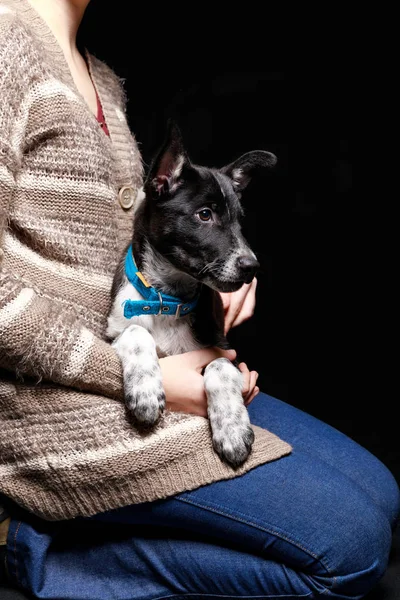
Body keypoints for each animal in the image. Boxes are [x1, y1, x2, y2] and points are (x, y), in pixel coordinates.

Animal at [106, 123, 276, 468]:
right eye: (205, 214)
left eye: (239, 220)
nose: (251, 267)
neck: (168, 298)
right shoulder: (112, 332)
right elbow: (135, 332)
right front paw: (145, 389)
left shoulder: (227, 352)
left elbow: (219, 365)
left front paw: (232, 429)